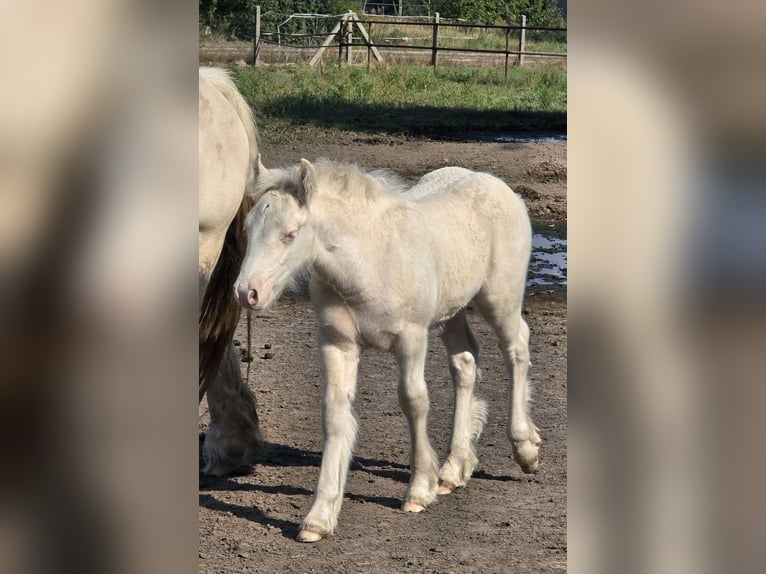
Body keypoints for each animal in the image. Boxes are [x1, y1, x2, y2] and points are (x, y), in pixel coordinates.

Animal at [237, 160, 544, 544]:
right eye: (249, 228)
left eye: (290, 234)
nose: (247, 293)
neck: (367, 265)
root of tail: (495, 184)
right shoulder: (337, 343)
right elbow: (334, 414)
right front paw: (319, 516)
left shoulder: (411, 338)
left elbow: (414, 401)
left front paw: (419, 490)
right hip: (452, 309)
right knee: (465, 362)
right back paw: (454, 469)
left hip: (499, 298)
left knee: (516, 348)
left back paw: (525, 447)